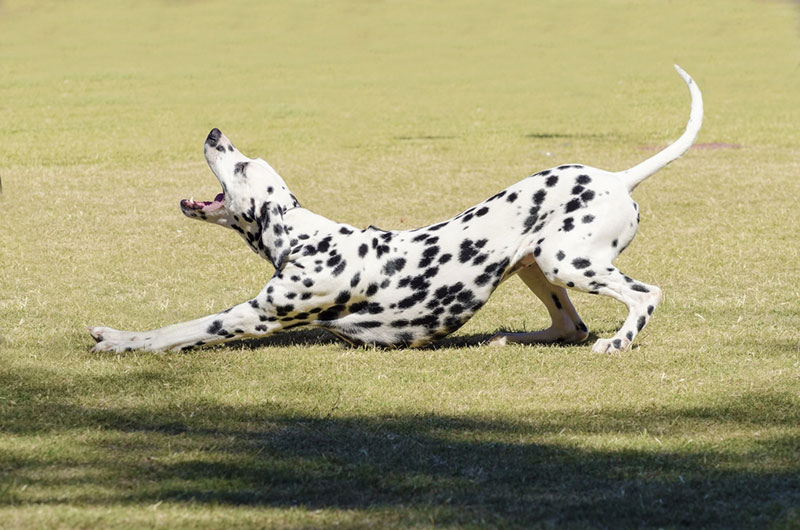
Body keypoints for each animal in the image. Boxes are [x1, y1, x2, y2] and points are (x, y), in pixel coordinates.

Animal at [89, 67, 700, 354]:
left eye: (241, 167)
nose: (216, 132)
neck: (308, 240)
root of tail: (618, 177)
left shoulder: (251, 316)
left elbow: (174, 331)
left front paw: (120, 340)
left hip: (563, 260)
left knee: (643, 296)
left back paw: (618, 342)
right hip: (535, 265)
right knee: (569, 324)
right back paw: (510, 338)